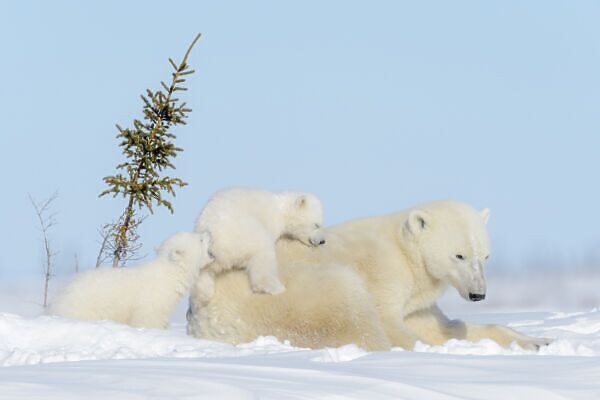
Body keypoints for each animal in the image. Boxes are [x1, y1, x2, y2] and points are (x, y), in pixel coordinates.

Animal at [188, 200, 548, 350]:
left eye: (485, 255)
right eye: (458, 255)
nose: (478, 294)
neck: (405, 251)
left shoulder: (417, 300)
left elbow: (443, 326)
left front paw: (537, 341)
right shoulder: (382, 272)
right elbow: (388, 320)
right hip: (285, 298)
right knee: (348, 312)